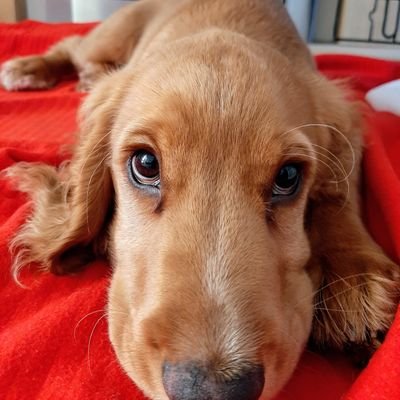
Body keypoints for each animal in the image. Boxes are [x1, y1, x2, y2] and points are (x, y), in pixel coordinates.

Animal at [1, 0, 398, 400]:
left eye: (288, 177)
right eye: (145, 164)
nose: (212, 391)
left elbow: (341, 193)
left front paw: (353, 278)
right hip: (110, 35)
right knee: (72, 45)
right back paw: (30, 69)